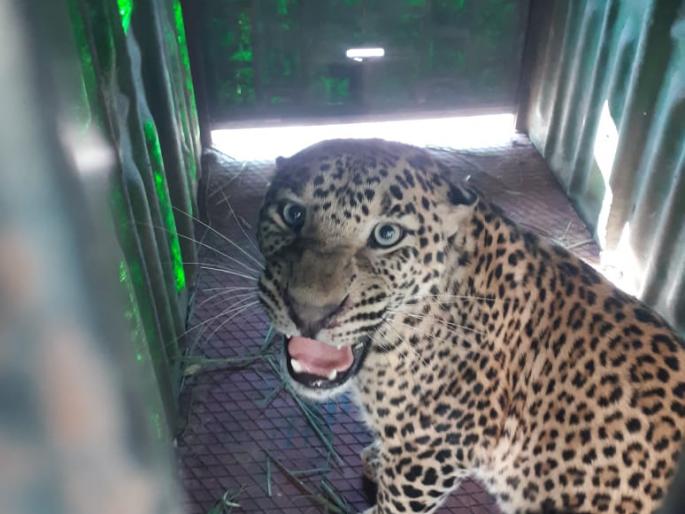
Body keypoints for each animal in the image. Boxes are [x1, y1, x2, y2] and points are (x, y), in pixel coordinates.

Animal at [255, 138, 685, 514]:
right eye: (292, 214)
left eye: (387, 234)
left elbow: (397, 505)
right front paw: (376, 460)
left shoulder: (432, 454)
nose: (310, 312)